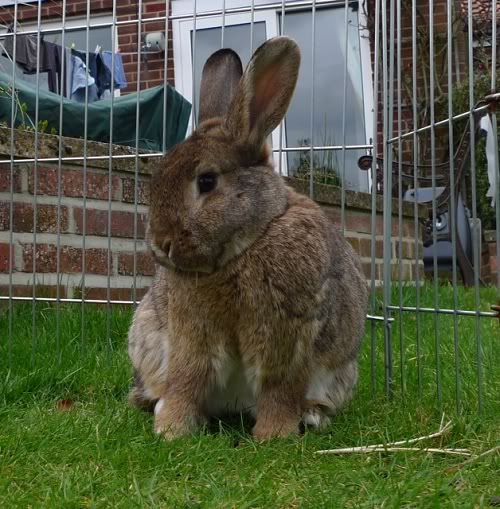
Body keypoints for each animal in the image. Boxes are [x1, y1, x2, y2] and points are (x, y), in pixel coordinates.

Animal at [127, 36, 370, 440]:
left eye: (207, 181)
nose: (161, 243)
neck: (243, 248)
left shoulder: (286, 336)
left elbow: (277, 389)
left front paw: (273, 436)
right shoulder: (190, 334)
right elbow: (186, 380)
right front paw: (172, 430)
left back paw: (312, 416)